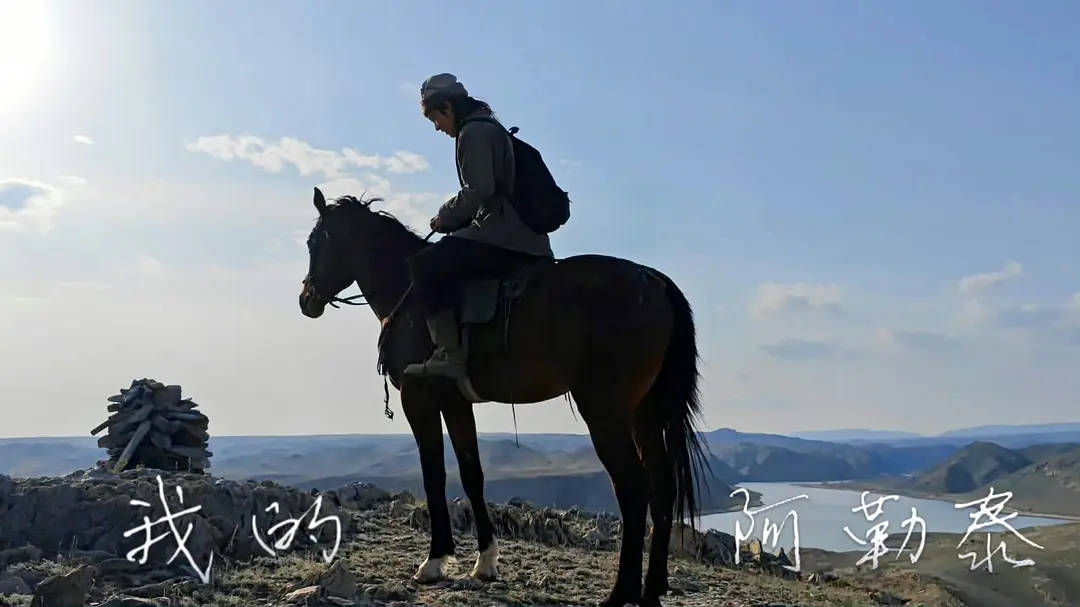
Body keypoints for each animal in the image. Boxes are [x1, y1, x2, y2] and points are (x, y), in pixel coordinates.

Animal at [298, 187, 710, 607]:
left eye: (316, 242)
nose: (306, 300)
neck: (405, 291)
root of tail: (653, 280)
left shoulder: (419, 400)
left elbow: (433, 474)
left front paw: (434, 561)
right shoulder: (456, 403)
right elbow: (471, 474)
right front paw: (485, 561)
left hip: (605, 413)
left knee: (633, 488)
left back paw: (620, 592)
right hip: (645, 414)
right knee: (662, 488)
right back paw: (652, 587)